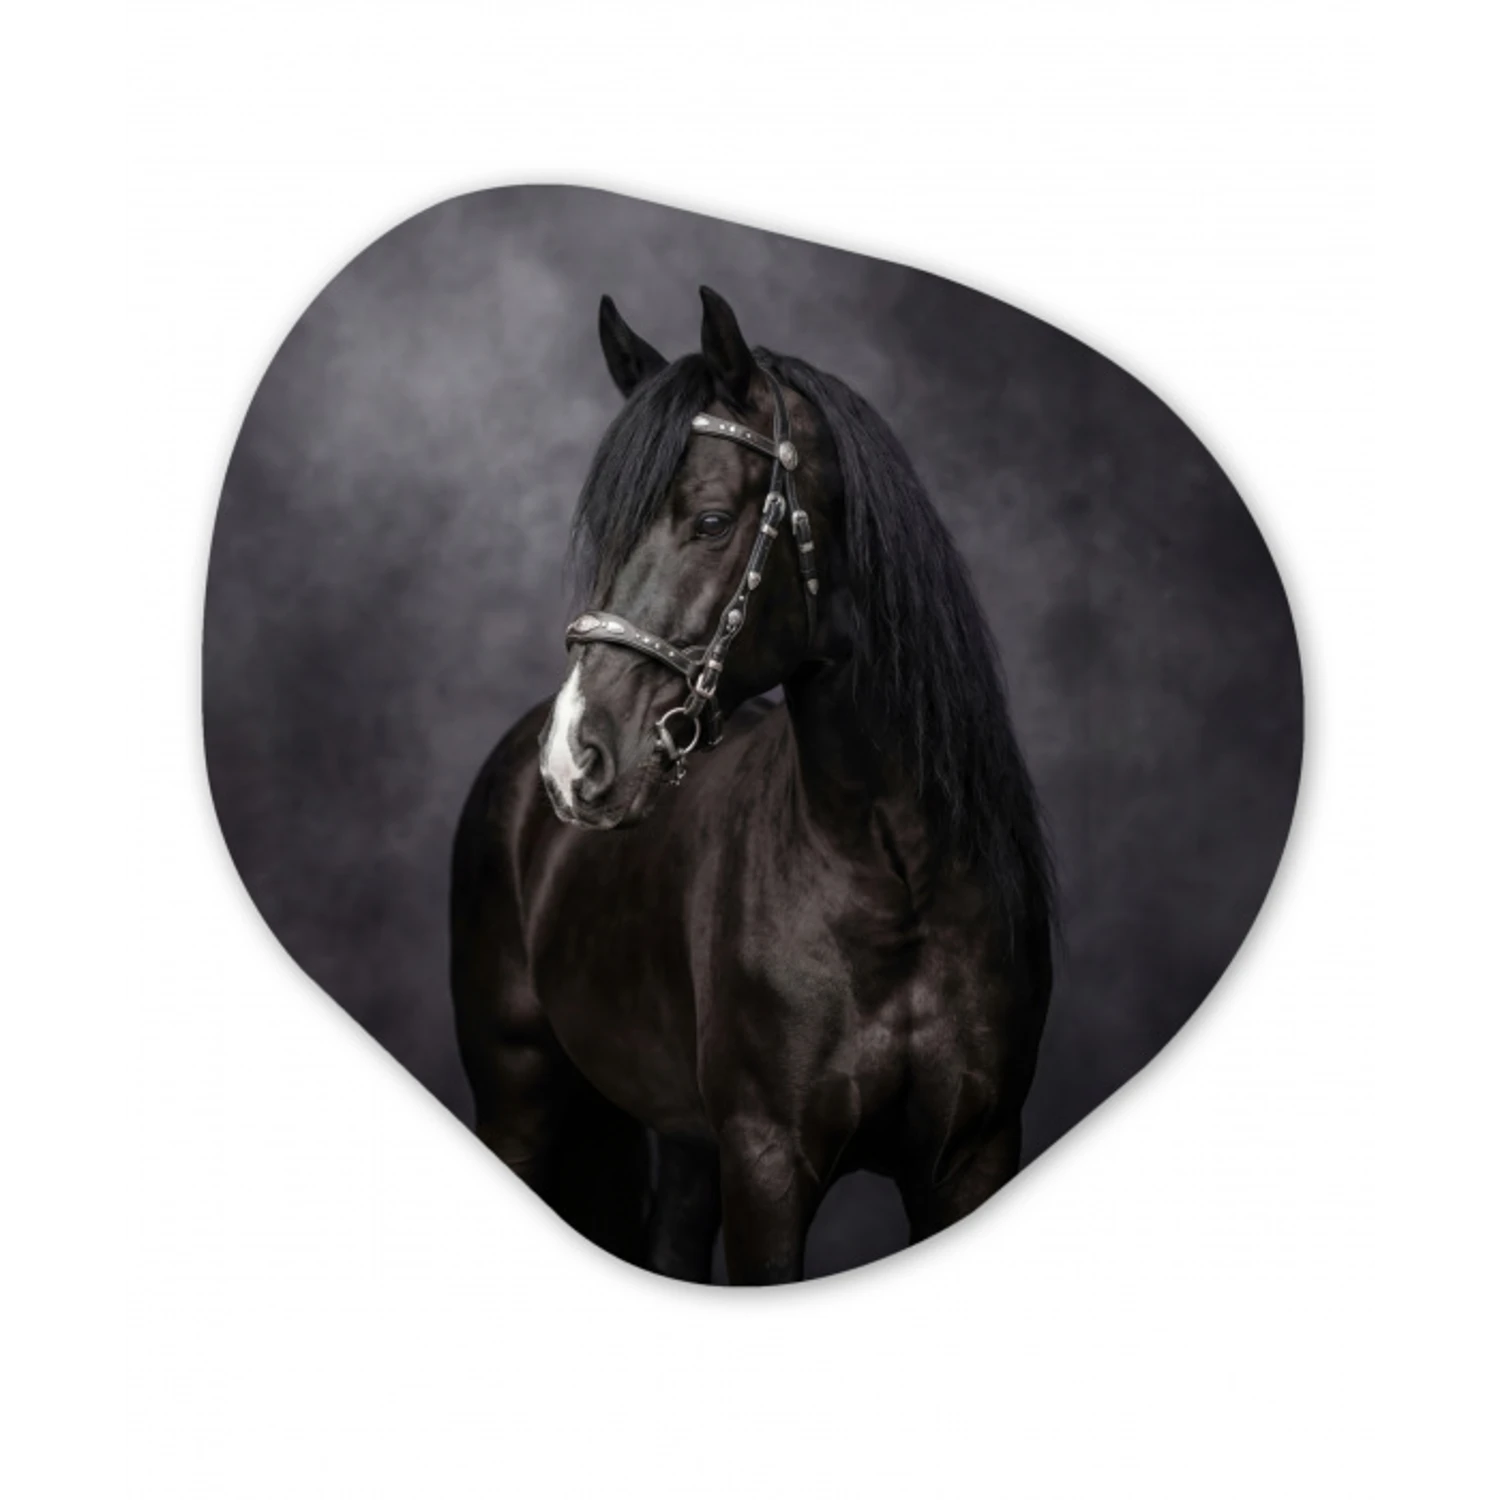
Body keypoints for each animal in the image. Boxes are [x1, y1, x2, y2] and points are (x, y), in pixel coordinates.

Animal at [451, 287, 1054, 1284]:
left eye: (708, 521)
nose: (574, 758)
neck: (896, 877)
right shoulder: (768, 1162)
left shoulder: (973, 1154)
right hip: (519, 1099)